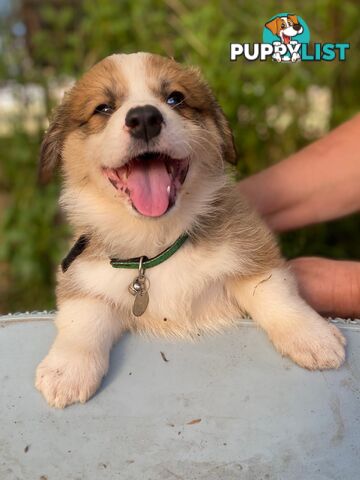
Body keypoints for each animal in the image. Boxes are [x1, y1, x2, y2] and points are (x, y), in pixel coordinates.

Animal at [35, 52, 344, 406]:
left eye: (175, 98)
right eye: (103, 108)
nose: (144, 118)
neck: (157, 241)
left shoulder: (250, 251)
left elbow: (273, 291)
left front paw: (313, 336)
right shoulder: (86, 278)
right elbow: (81, 318)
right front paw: (66, 371)